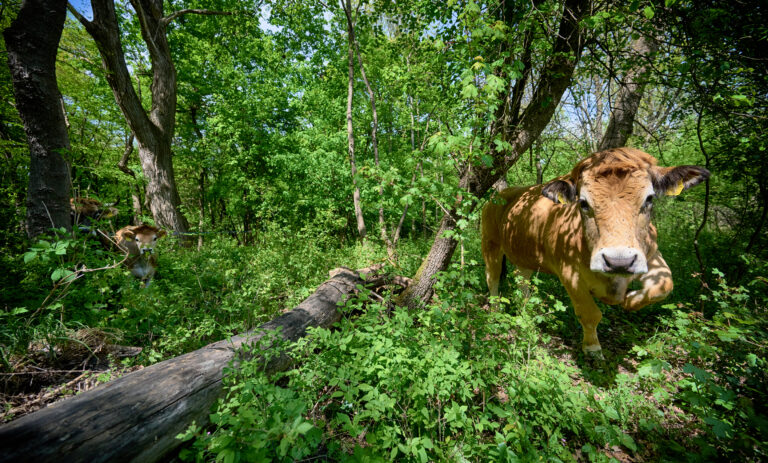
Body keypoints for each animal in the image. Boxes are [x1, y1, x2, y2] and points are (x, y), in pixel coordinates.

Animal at [481, 148, 709, 358]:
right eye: (583, 202)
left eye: (649, 198)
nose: (619, 261)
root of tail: (501, 194)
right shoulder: (569, 272)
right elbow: (589, 312)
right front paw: (592, 348)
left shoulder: (651, 254)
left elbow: (664, 285)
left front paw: (630, 300)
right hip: (490, 244)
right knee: (493, 280)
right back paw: (495, 314)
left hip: (524, 257)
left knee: (522, 284)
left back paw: (526, 313)